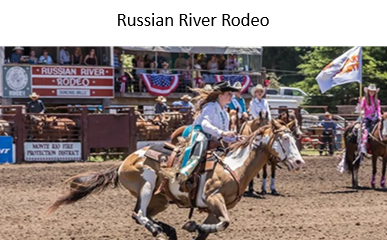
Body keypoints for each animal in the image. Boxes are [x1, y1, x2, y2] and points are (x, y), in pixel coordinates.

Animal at [47, 120, 304, 240]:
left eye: (294, 139)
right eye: (284, 140)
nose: (300, 162)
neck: (233, 166)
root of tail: (124, 161)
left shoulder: (213, 209)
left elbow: (210, 229)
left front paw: (194, 227)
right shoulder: (213, 199)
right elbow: (225, 223)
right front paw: (190, 225)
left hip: (160, 199)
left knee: (141, 214)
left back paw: (167, 229)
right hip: (147, 183)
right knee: (139, 214)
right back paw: (157, 230)